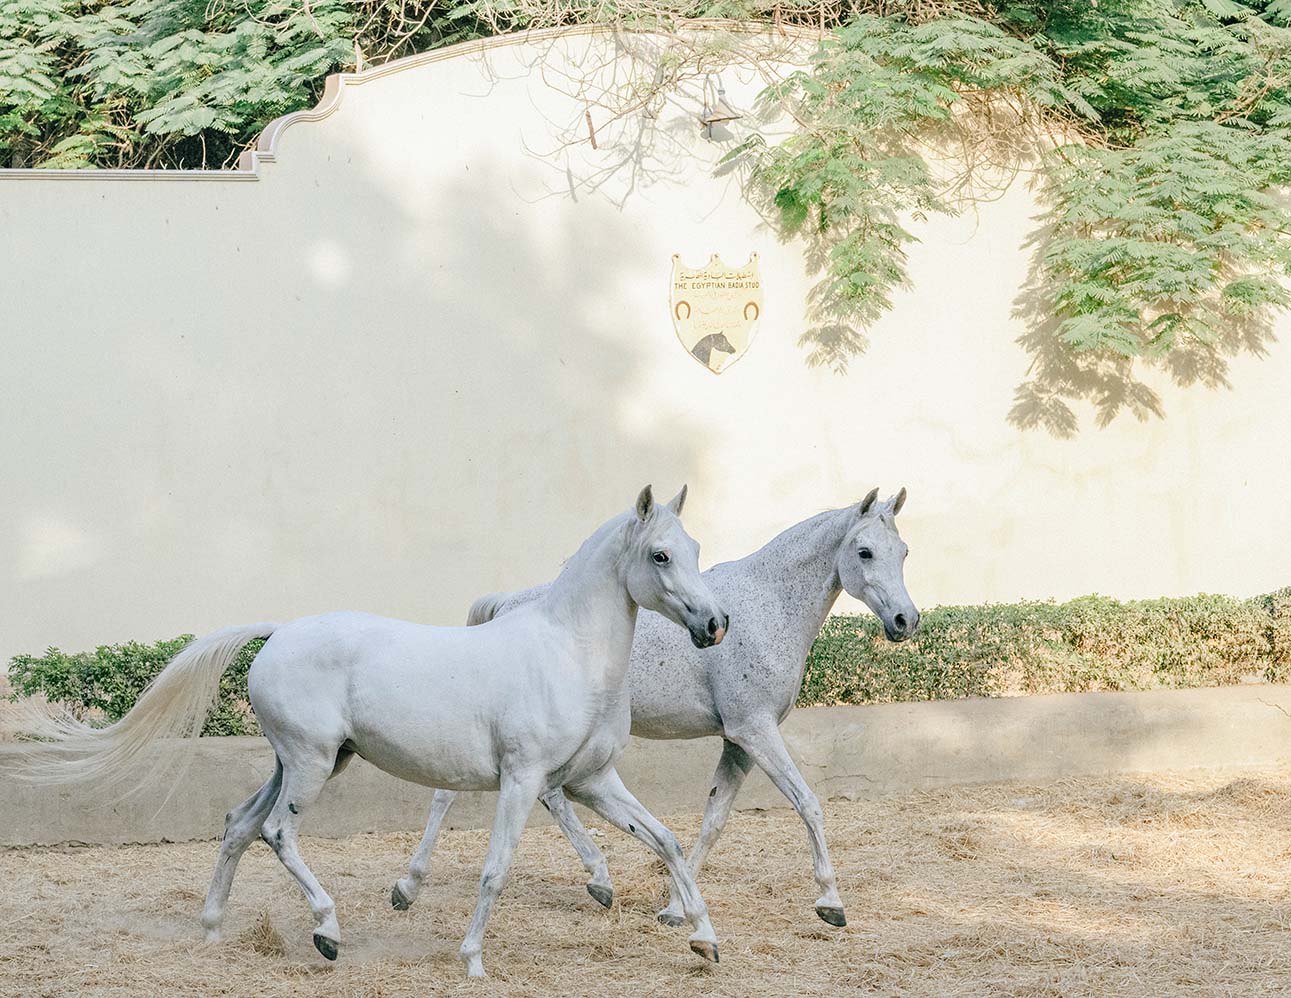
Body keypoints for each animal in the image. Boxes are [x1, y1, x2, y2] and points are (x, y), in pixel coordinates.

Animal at [19, 485, 731, 977]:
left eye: (696, 550)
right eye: (660, 555)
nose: (716, 623)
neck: (568, 652)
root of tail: (279, 632)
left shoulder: (591, 782)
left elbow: (666, 841)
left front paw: (704, 939)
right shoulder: (524, 781)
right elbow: (495, 869)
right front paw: (472, 960)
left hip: (304, 761)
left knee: (239, 824)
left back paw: (214, 927)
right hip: (309, 765)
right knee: (277, 833)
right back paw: (327, 932)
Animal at [391, 488, 916, 930]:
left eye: (904, 552)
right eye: (865, 552)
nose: (905, 620)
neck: (768, 606)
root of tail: (504, 606)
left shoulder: (738, 742)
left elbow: (714, 819)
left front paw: (676, 908)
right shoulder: (755, 731)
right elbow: (808, 803)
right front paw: (830, 902)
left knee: (551, 797)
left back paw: (599, 881)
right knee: (452, 796)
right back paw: (408, 886)